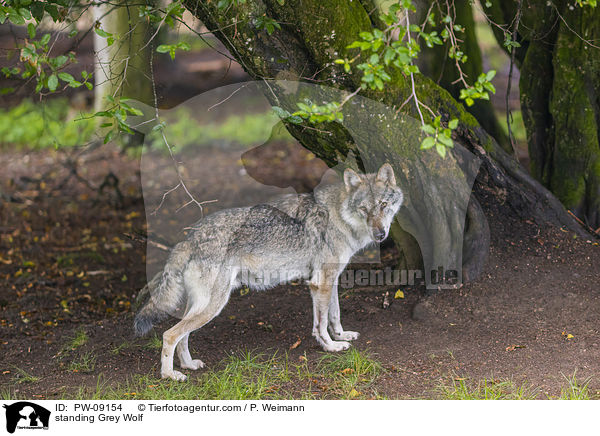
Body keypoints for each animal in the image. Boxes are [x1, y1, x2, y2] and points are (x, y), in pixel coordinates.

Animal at [136, 162, 406, 380]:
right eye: (364, 209)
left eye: (383, 205)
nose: (380, 234)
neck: (339, 216)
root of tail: (189, 237)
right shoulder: (320, 283)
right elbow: (320, 325)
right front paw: (330, 347)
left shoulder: (330, 281)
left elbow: (334, 315)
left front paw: (341, 336)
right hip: (213, 306)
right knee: (170, 335)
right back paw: (170, 375)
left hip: (202, 306)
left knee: (183, 335)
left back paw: (189, 365)